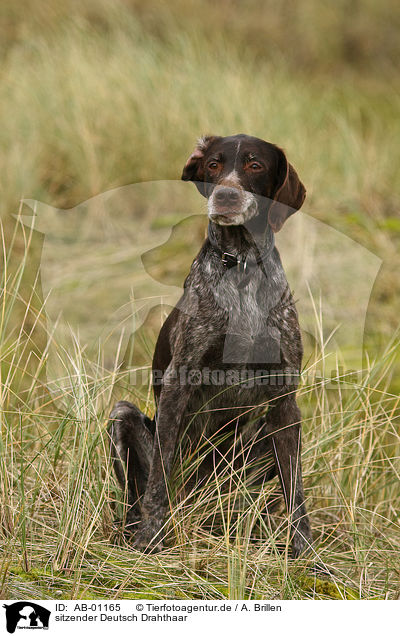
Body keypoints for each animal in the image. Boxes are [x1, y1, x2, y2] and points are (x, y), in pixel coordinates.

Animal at [109, 134, 312, 556]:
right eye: (214, 165)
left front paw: (308, 556)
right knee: (142, 493)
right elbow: (158, 481)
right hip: (122, 415)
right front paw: (150, 539)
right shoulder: (178, 384)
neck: (243, 266)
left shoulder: (286, 401)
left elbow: (296, 495)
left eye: (255, 165)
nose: (225, 196)